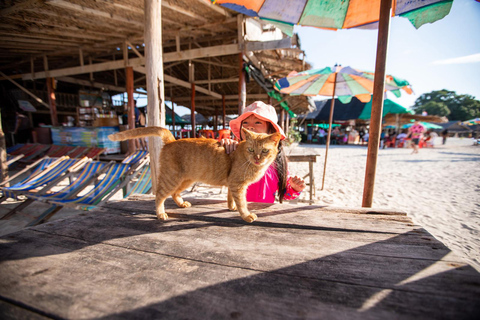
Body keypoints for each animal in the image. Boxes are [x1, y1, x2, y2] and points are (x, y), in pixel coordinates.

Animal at [108, 126, 282, 221]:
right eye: (251, 149)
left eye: (264, 151)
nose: (257, 158)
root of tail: (172, 140)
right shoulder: (237, 185)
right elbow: (242, 203)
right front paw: (246, 215)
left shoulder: (232, 184)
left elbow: (231, 198)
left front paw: (231, 207)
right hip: (171, 179)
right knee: (159, 196)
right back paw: (161, 214)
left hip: (185, 180)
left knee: (174, 194)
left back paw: (181, 203)